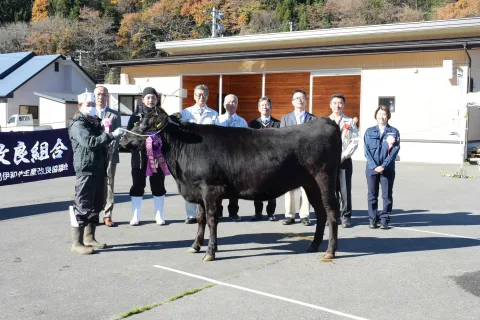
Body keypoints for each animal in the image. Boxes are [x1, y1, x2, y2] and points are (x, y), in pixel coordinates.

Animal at [122, 107, 344, 260]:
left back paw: (330, 251)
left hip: (324, 179)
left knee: (332, 211)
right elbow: (201, 219)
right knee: (321, 212)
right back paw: (314, 245)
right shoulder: (199, 192)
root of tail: (326, 121)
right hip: (310, 184)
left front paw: (210, 252)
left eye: (144, 126)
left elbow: (212, 220)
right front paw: (195, 246)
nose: (122, 138)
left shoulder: (210, 189)